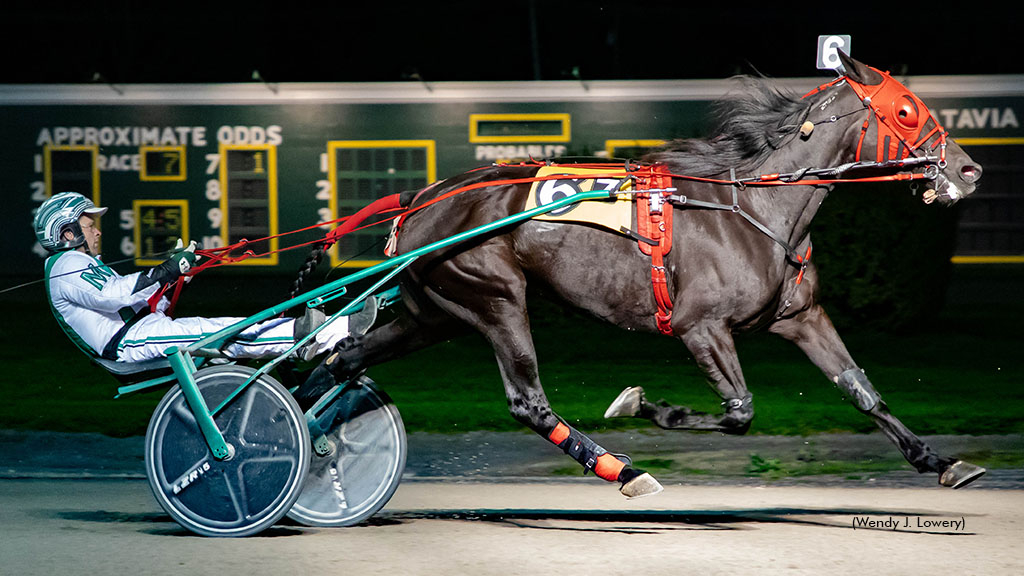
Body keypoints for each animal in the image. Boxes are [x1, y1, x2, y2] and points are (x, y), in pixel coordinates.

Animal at [294, 51, 983, 496]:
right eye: (906, 111)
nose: (968, 170)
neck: (756, 209)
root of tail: (421, 198)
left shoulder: (801, 317)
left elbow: (862, 390)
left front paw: (939, 460)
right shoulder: (702, 327)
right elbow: (739, 411)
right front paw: (647, 407)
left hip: (435, 312)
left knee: (342, 358)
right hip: (495, 297)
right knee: (528, 402)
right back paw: (622, 470)